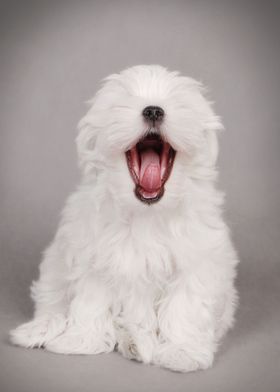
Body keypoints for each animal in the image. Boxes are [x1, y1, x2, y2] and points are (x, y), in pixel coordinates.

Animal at [10, 66, 238, 372]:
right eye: (125, 100)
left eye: (179, 101)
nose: (153, 110)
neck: (146, 213)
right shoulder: (92, 256)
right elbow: (92, 299)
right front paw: (82, 339)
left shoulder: (196, 260)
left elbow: (185, 306)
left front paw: (181, 351)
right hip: (54, 268)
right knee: (53, 302)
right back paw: (41, 329)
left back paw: (135, 344)